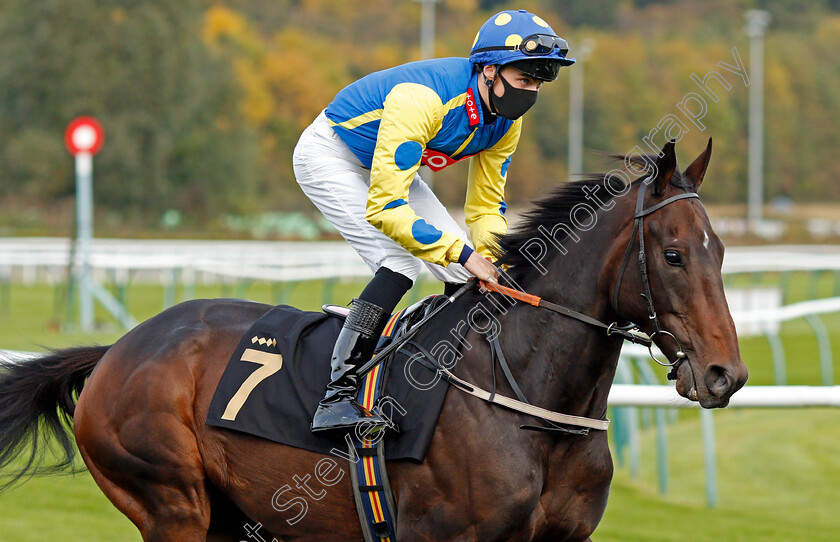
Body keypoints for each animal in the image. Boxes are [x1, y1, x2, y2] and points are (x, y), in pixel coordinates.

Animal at [0, 139, 748, 540]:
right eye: (674, 255)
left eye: (721, 252)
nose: (726, 375)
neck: (529, 400)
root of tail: (116, 351)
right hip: (171, 503)